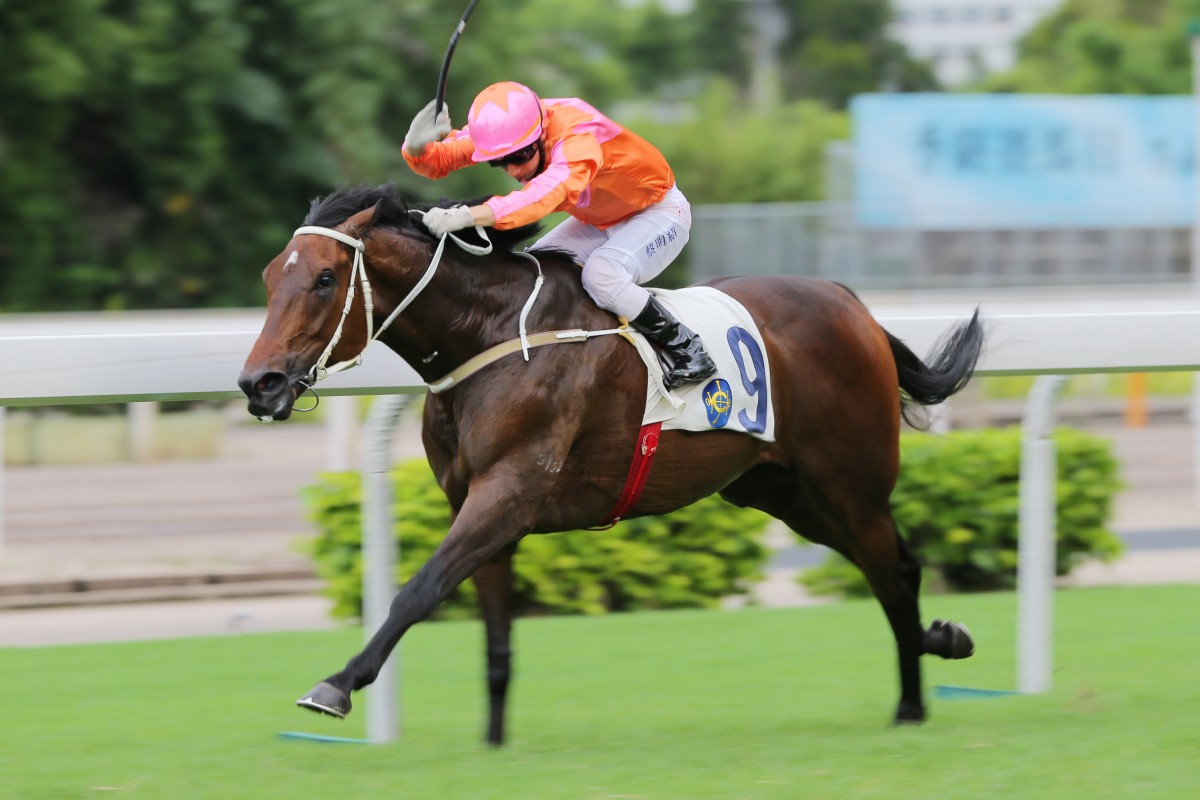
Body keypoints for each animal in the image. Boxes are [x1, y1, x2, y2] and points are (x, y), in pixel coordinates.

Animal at [239, 184, 984, 745]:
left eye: (325, 279)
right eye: (272, 277)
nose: (259, 384)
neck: (489, 334)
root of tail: (851, 303)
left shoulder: (508, 491)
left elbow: (417, 591)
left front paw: (336, 685)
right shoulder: (477, 502)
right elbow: (495, 635)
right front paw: (494, 740)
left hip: (846, 483)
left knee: (891, 572)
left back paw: (914, 700)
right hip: (780, 490)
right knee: (893, 568)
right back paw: (939, 643)